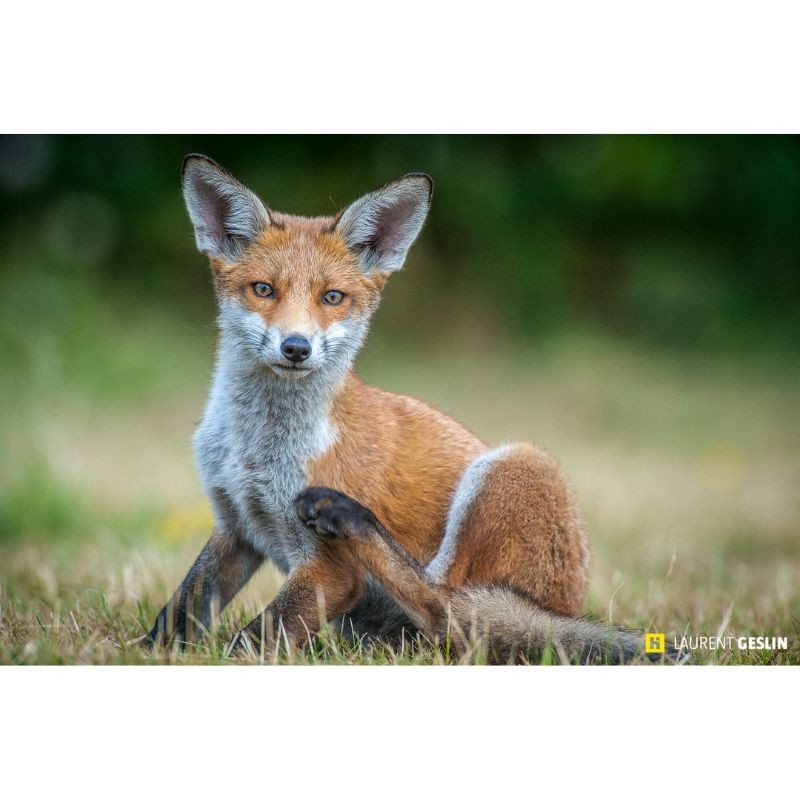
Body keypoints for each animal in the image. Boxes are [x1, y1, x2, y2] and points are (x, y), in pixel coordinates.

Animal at [145, 153, 655, 664]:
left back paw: (352, 518)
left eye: (332, 297)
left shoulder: (330, 571)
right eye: (263, 289)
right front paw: (148, 651)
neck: (257, 446)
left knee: (450, 617)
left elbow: (254, 637)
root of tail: (567, 605)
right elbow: (181, 606)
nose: (296, 348)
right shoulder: (235, 525)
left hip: (517, 465)